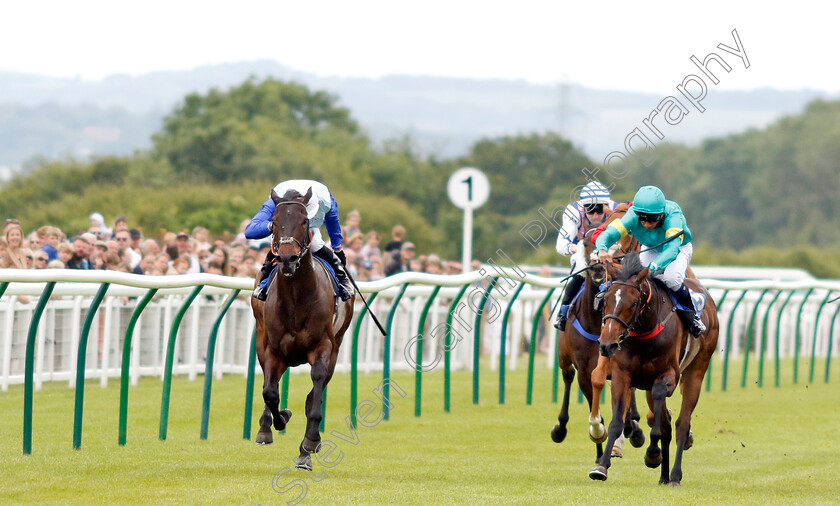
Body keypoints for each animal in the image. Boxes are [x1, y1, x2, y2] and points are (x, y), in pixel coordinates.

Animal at [249, 188, 354, 472]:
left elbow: (315, 394)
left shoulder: (324, 346)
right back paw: (266, 428)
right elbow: (270, 392)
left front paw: (308, 445)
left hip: (336, 345)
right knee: (271, 387)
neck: (296, 297)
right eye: (273, 222)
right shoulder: (273, 350)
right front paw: (279, 419)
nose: (287, 258)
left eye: (305, 221)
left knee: (315, 391)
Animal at [588, 255, 720, 484]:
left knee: (681, 423)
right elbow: (617, 421)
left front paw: (652, 453)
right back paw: (664, 476)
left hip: (697, 369)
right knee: (666, 423)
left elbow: (660, 418)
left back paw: (674, 475)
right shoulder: (622, 375)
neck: (643, 332)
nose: (606, 344)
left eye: (633, 302)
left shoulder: (669, 376)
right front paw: (601, 465)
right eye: (606, 300)